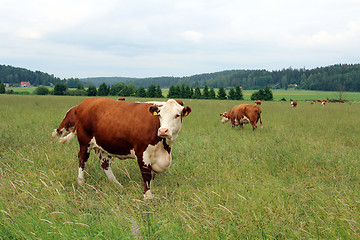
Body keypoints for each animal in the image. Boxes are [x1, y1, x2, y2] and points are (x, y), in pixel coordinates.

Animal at [55, 97, 191, 199]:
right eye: (160, 115)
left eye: (177, 115)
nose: (163, 130)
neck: (164, 148)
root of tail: (86, 102)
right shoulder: (142, 153)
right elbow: (146, 175)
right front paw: (148, 197)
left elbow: (152, 176)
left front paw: (150, 192)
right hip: (85, 142)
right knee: (82, 159)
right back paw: (81, 182)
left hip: (105, 144)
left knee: (104, 163)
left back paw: (116, 184)